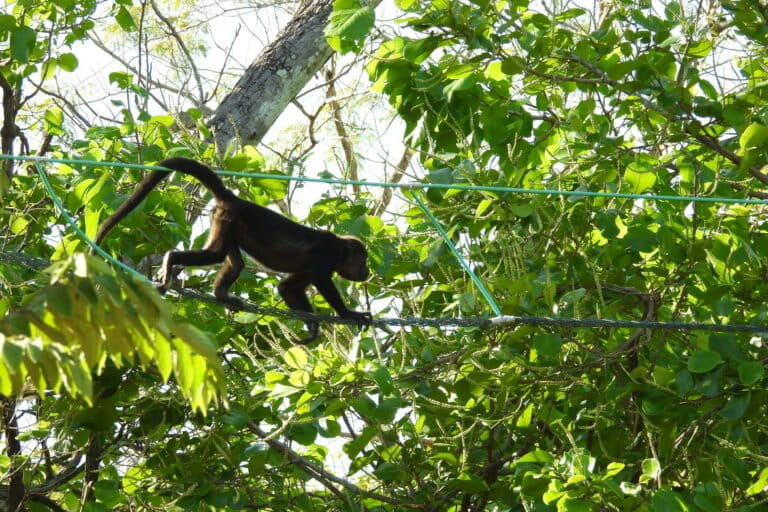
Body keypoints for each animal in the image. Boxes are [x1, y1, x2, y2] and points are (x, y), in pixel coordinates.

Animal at [94, 157, 372, 344]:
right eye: (363, 260)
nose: (367, 271)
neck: (341, 249)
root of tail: (233, 198)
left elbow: (287, 287)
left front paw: (312, 326)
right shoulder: (327, 256)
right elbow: (322, 282)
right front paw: (349, 313)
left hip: (226, 224)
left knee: (234, 262)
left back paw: (222, 294)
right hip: (229, 219)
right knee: (216, 255)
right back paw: (171, 259)